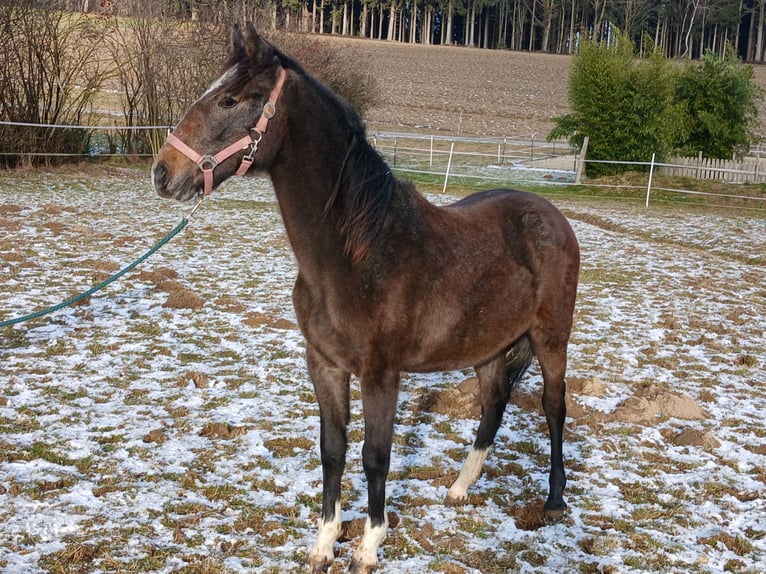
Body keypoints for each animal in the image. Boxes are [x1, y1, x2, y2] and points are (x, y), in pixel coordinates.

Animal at [152, 22, 580, 574]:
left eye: (229, 99)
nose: (163, 173)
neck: (355, 254)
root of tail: (551, 215)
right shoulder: (325, 365)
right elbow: (333, 450)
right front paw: (323, 542)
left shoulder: (381, 373)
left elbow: (376, 456)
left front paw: (369, 545)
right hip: (487, 344)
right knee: (494, 404)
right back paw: (459, 488)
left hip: (551, 339)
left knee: (553, 408)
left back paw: (554, 500)